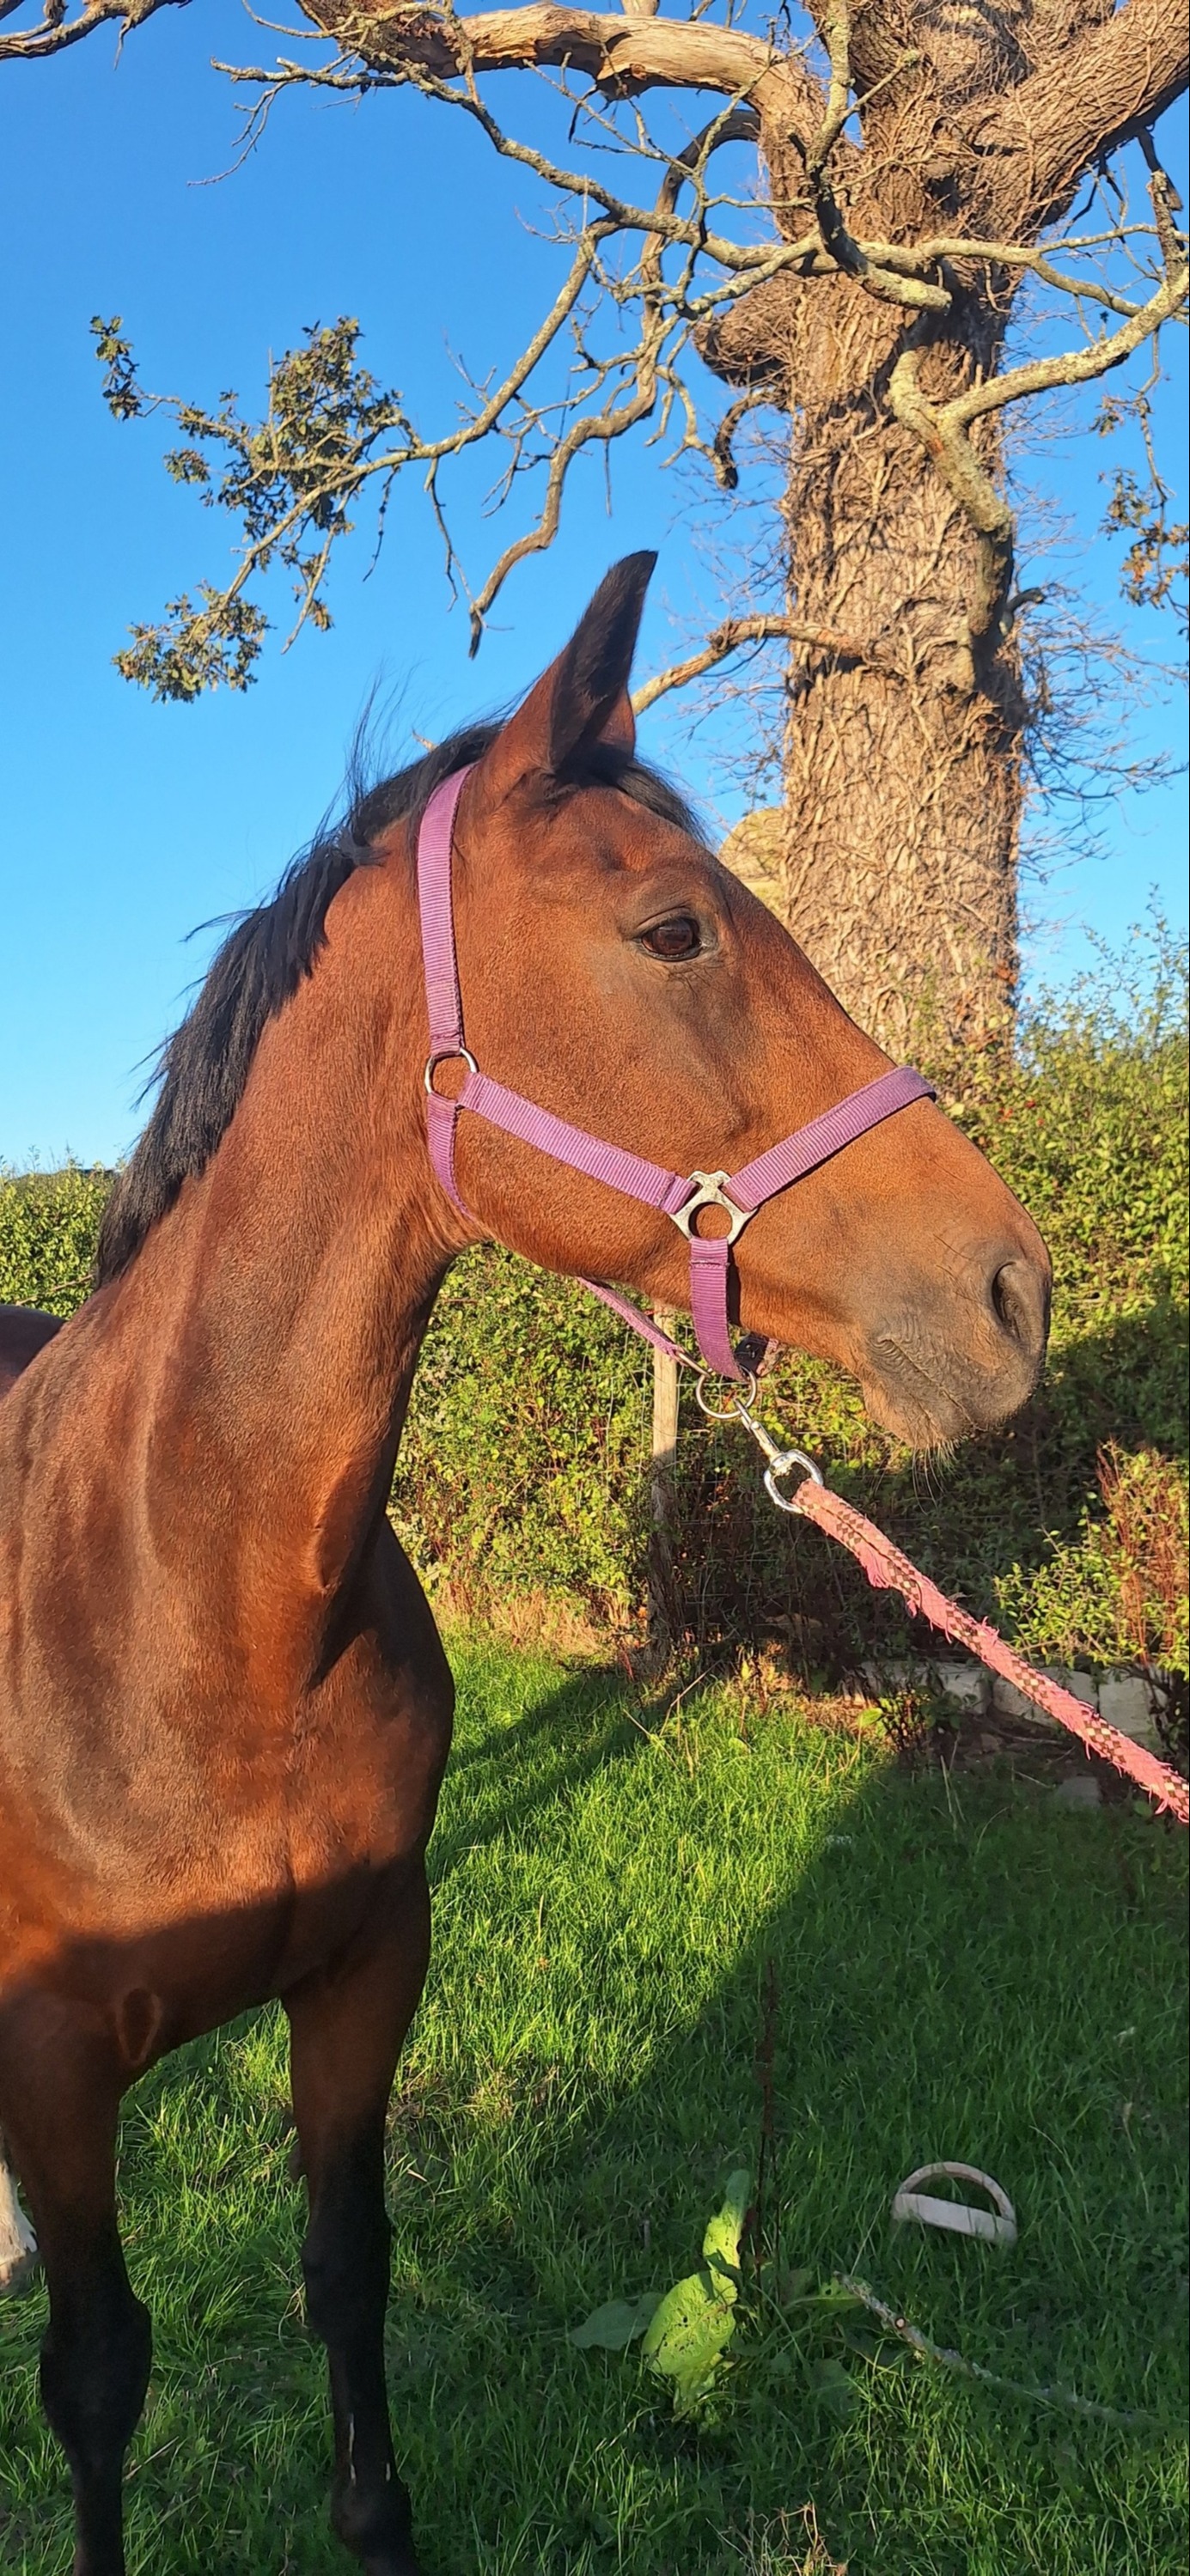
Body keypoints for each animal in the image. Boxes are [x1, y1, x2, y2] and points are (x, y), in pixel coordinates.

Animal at [0, 554, 1050, 2576]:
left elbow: (346, 2271)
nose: (1008, 1290)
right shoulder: (61, 2060)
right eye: (673, 930)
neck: (188, 1609)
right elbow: (94, 2376)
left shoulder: (365, 1978)